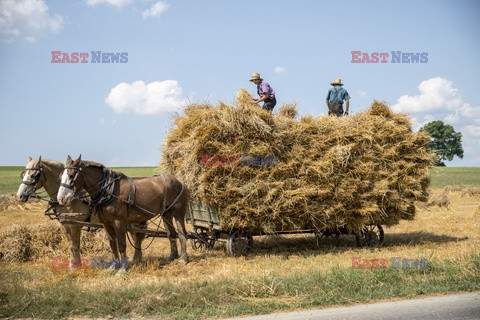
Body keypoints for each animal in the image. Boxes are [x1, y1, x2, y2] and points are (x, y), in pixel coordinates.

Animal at [16, 156, 146, 266]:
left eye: (34, 175)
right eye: (23, 175)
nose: (20, 196)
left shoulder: (75, 225)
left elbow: (75, 245)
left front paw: (75, 265)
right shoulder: (66, 225)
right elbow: (70, 245)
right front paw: (72, 264)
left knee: (137, 238)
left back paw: (136, 259)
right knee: (136, 237)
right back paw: (137, 259)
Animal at [56, 155, 189, 268]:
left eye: (72, 175)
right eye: (61, 176)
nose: (61, 198)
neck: (110, 191)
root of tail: (179, 181)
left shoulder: (119, 222)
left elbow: (121, 245)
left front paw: (123, 269)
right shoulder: (106, 223)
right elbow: (113, 245)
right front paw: (114, 266)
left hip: (178, 213)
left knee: (182, 233)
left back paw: (183, 258)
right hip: (166, 214)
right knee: (171, 234)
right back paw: (172, 256)